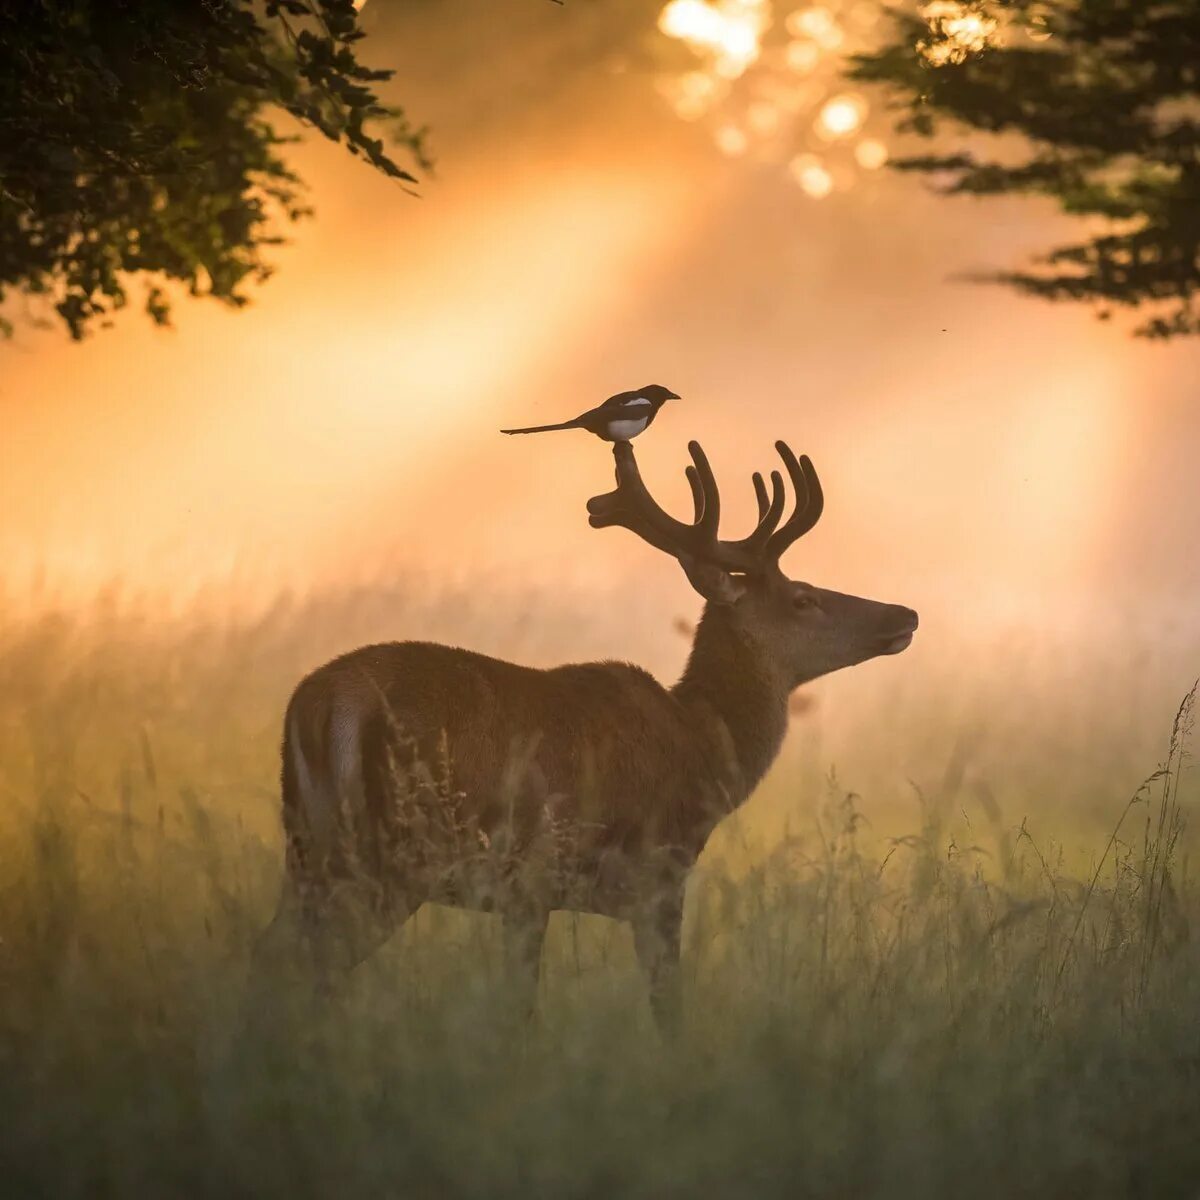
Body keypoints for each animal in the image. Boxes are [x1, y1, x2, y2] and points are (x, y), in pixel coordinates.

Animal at [248, 436, 912, 1027]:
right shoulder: (626, 877)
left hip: (308, 846)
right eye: (803, 597)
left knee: (271, 955)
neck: (701, 749)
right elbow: (645, 1010)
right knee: (313, 964)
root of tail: (320, 704)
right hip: (394, 851)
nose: (904, 613)